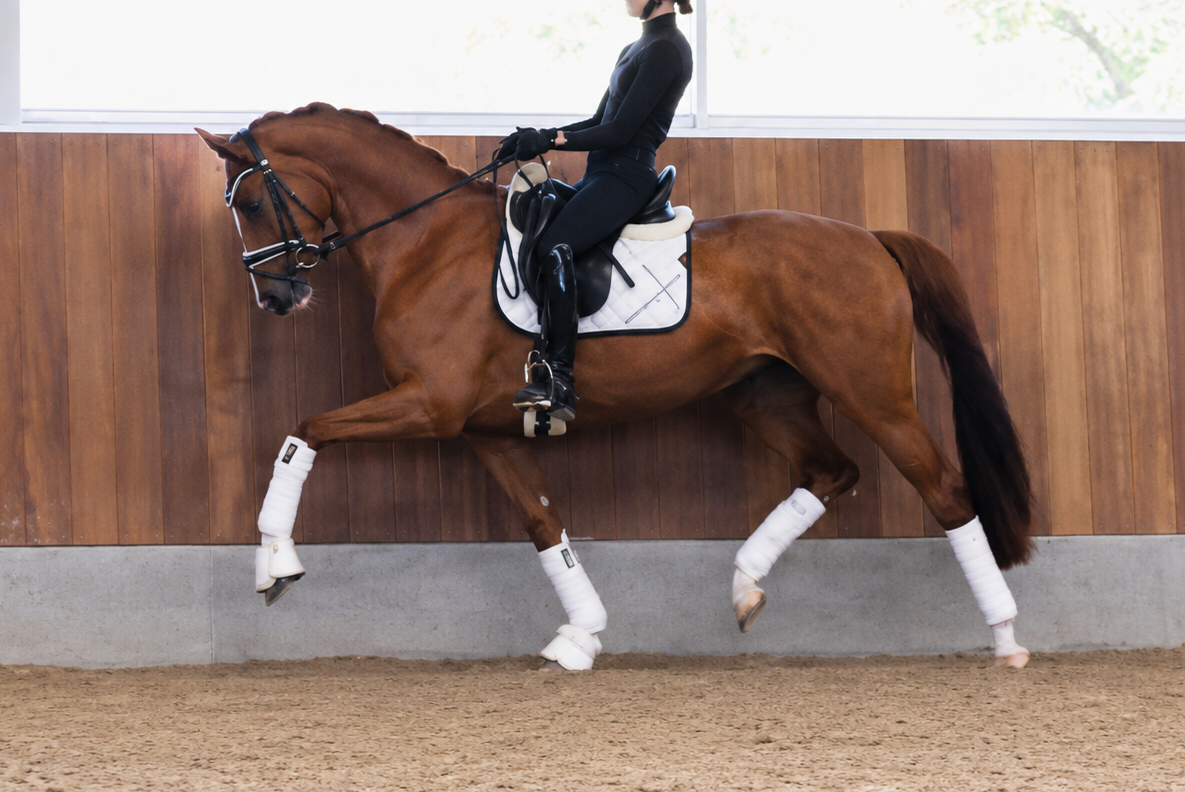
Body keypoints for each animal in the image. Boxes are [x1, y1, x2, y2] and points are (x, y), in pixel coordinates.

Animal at [197, 102, 1035, 670]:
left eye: (250, 202)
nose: (276, 297)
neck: (424, 242)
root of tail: (868, 238)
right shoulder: (486, 431)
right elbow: (544, 525)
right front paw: (580, 635)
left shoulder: (430, 405)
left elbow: (304, 428)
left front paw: (274, 564)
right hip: (766, 393)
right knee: (830, 471)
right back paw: (744, 584)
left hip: (872, 392)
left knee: (944, 490)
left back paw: (1005, 638)